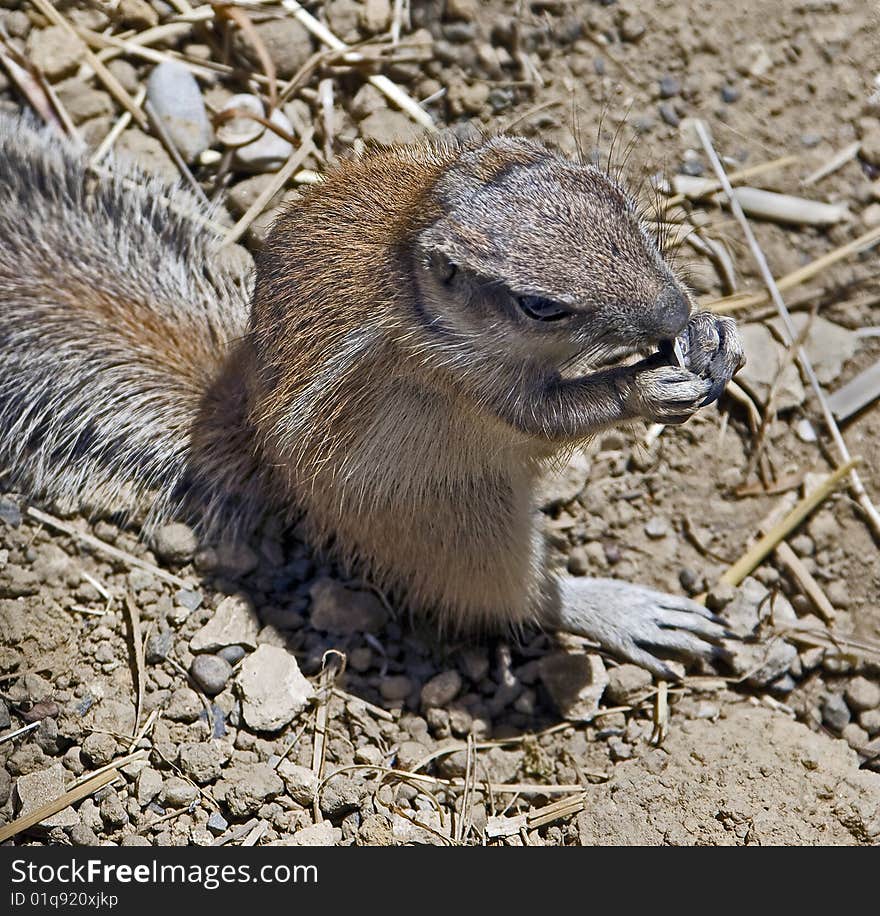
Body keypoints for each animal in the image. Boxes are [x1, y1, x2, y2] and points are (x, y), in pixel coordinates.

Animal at [0, 114, 744, 676]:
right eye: (541, 307)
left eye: (618, 200)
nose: (675, 312)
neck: (412, 268)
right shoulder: (454, 376)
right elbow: (549, 417)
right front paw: (646, 386)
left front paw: (714, 337)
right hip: (461, 524)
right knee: (523, 596)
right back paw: (625, 612)